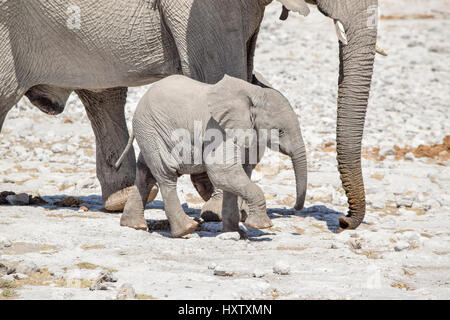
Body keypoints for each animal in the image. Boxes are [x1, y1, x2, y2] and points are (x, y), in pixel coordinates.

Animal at [114, 74, 308, 236]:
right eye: (280, 131)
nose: (296, 208)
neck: (252, 93)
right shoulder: (217, 129)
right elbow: (222, 172)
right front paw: (261, 226)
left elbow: (236, 175)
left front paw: (235, 233)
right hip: (152, 129)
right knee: (166, 174)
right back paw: (186, 230)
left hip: (149, 133)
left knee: (145, 174)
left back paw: (134, 225)